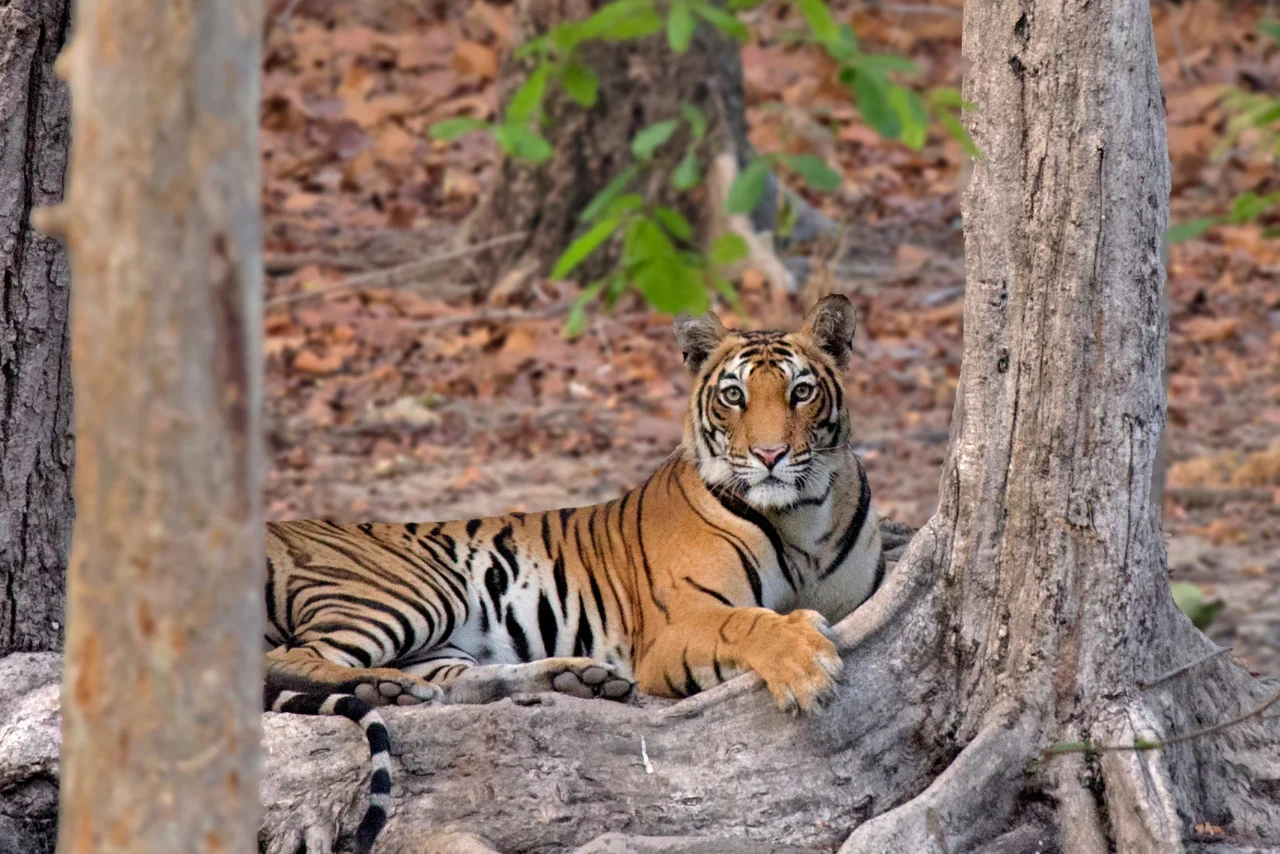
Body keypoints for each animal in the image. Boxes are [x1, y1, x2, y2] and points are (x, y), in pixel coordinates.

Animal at [263, 294, 885, 853]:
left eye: (801, 391)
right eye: (734, 395)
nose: (770, 455)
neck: (801, 518)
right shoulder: (676, 627)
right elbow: (747, 623)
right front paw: (803, 663)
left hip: (443, 642)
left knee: (464, 684)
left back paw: (576, 678)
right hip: (413, 592)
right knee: (290, 659)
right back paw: (383, 685)